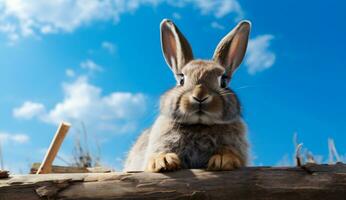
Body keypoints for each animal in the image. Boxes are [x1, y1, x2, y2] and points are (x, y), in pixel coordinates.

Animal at [124, 18, 251, 172]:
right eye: (181, 80)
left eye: (223, 82)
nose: (200, 96)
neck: (199, 125)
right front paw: (163, 161)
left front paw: (223, 160)